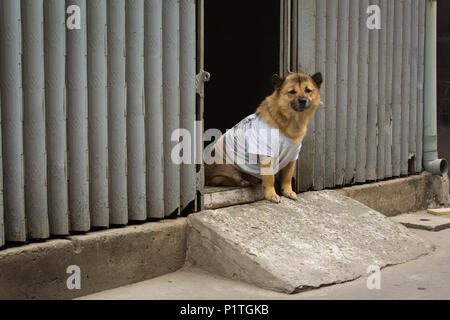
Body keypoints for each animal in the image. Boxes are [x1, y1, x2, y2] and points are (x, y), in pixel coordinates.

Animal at [202, 72, 322, 202]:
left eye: (308, 90)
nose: (303, 100)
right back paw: (243, 181)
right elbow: (270, 178)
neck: (289, 121)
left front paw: (288, 192)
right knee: (220, 180)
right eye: (292, 92)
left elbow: (287, 177)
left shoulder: (292, 156)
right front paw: (271, 195)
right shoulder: (266, 153)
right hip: (225, 170)